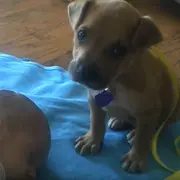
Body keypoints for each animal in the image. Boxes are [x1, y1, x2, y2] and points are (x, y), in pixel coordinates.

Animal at [68, 0, 180, 173]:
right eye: (81, 34)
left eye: (118, 50)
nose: (83, 71)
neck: (116, 82)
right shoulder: (94, 100)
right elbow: (96, 122)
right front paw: (92, 140)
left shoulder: (149, 111)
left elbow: (143, 137)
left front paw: (136, 157)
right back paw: (119, 120)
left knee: (158, 126)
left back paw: (134, 132)